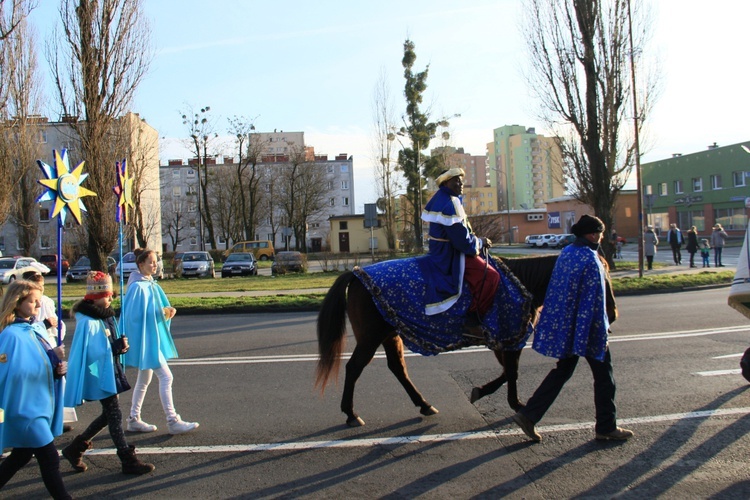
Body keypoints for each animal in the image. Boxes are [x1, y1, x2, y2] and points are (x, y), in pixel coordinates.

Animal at [316, 254, 560, 426]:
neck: (522, 281)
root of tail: (356, 274)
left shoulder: (502, 342)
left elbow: (506, 372)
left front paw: (483, 391)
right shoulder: (510, 338)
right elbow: (511, 372)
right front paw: (516, 404)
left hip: (390, 335)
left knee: (397, 368)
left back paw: (424, 404)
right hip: (370, 338)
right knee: (354, 368)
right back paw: (351, 414)